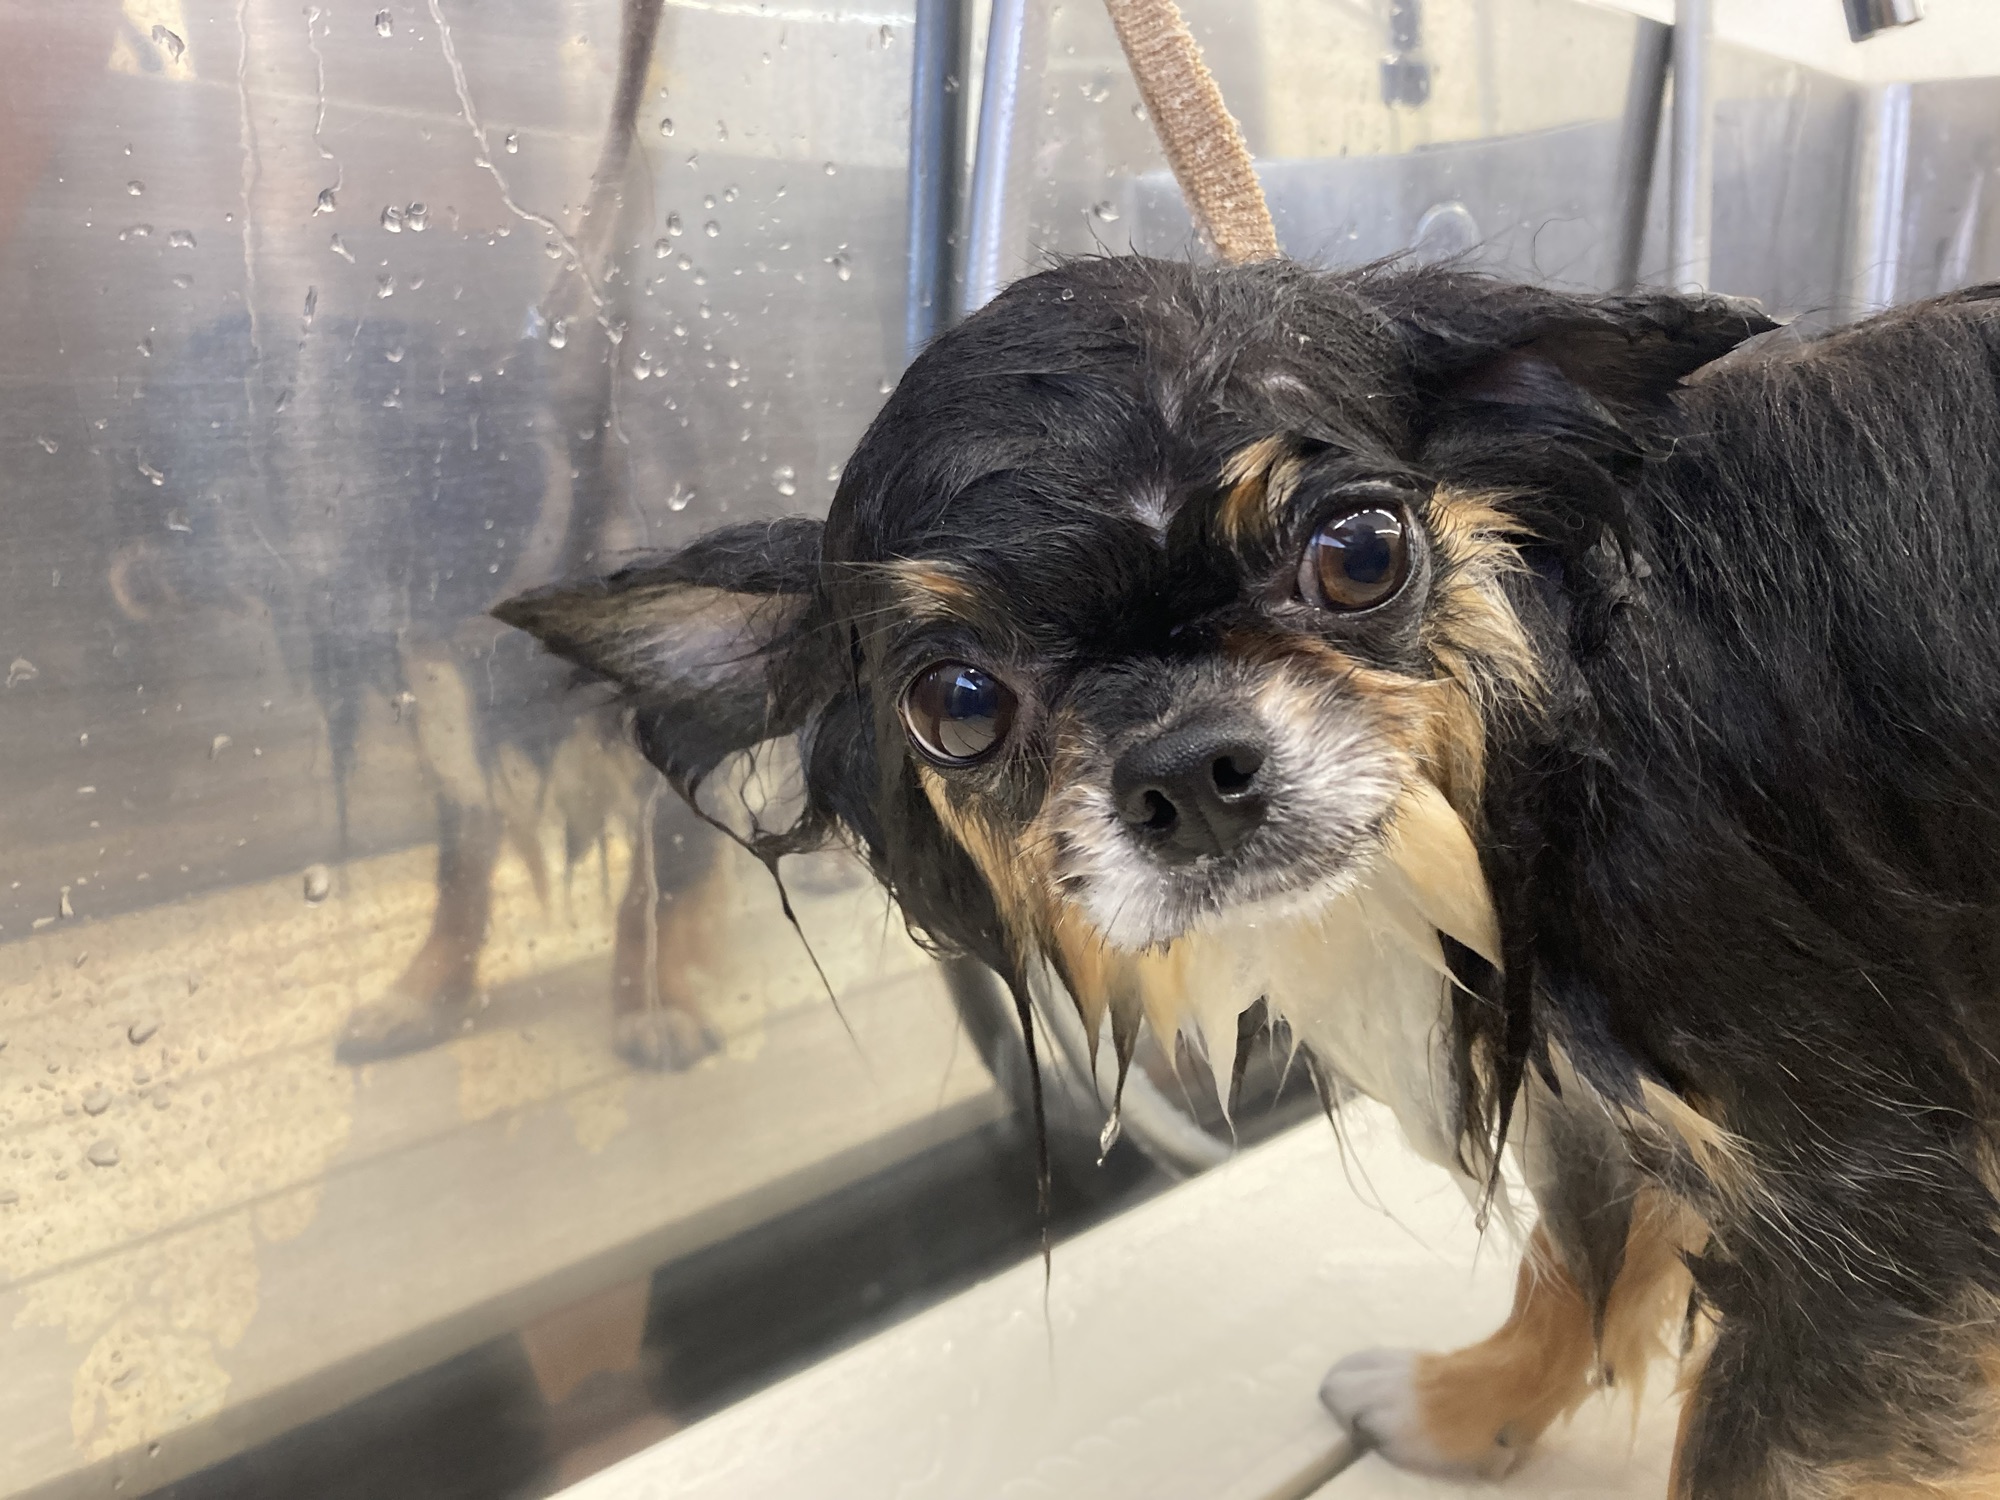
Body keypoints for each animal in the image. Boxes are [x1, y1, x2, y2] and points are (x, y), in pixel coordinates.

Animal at [495, 253, 2000, 1497]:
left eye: (1359, 553)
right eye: (956, 702)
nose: (1186, 769)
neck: (1551, 734)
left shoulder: (1881, 1211)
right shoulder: (1618, 1100)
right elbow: (1575, 1263)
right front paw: (1467, 1408)